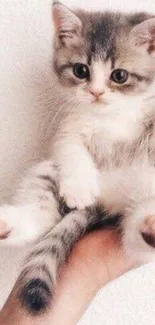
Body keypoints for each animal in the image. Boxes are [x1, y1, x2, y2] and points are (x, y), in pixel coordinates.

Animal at [0, 0, 155, 314]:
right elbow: (71, 150)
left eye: (119, 75)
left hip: (140, 195)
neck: (109, 117)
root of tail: (110, 201)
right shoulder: (67, 130)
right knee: (43, 214)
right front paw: (80, 188)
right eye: (81, 70)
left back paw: (149, 226)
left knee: (135, 230)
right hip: (47, 171)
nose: (95, 92)